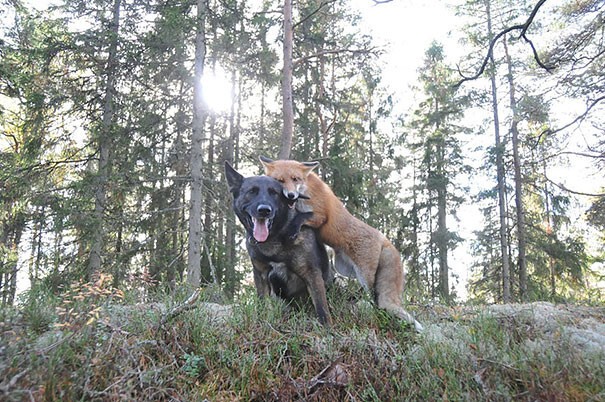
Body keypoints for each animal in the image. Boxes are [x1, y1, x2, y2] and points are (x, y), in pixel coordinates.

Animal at [224, 162, 332, 326]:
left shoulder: (312, 274)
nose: (264, 210)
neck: (275, 237)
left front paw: (327, 329)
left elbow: (322, 308)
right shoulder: (261, 274)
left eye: (274, 193)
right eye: (252, 192)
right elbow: (262, 304)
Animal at [260, 155, 424, 332]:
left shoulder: (320, 215)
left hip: (364, 274)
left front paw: (292, 229)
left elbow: (302, 217)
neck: (305, 192)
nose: (290, 195)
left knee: (373, 295)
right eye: (280, 180)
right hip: (343, 268)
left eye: (295, 179)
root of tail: (385, 239)